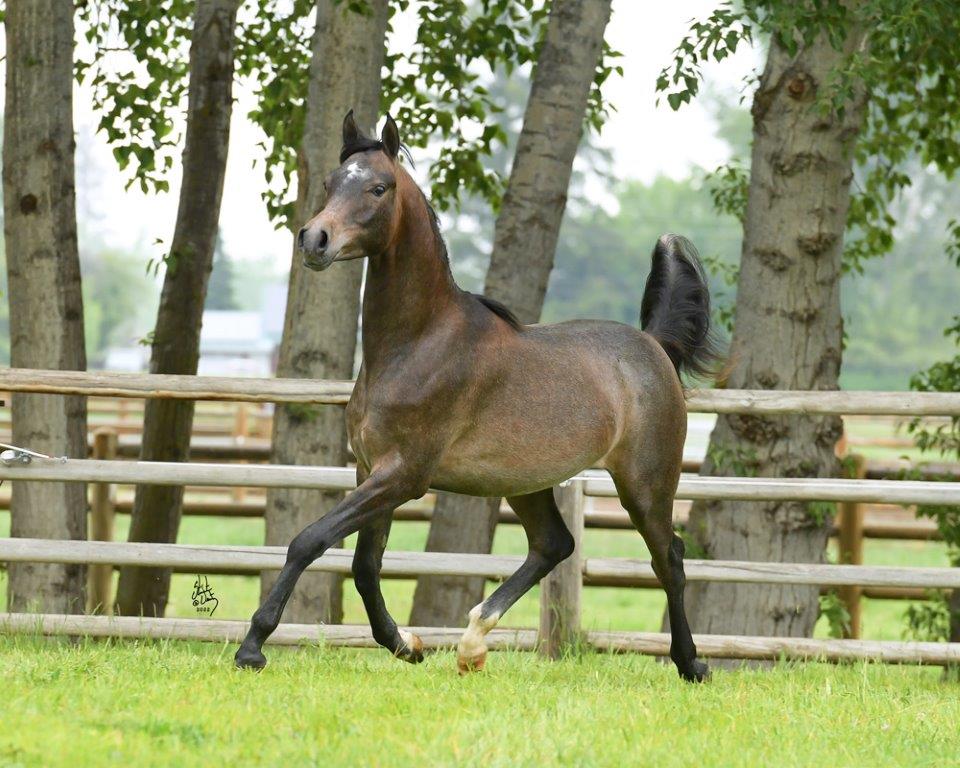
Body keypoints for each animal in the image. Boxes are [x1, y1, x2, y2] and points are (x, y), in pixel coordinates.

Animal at [235, 110, 720, 682]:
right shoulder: (371, 469)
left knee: (669, 558)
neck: (416, 344)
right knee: (554, 545)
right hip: (526, 481)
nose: (315, 240)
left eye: (378, 187)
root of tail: (654, 346)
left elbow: (308, 540)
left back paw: (691, 664)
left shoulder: (404, 475)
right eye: (332, 183)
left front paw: (252, 647)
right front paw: (407, 644)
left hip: (645, 483)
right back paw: (471, 644)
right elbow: (365, 565)